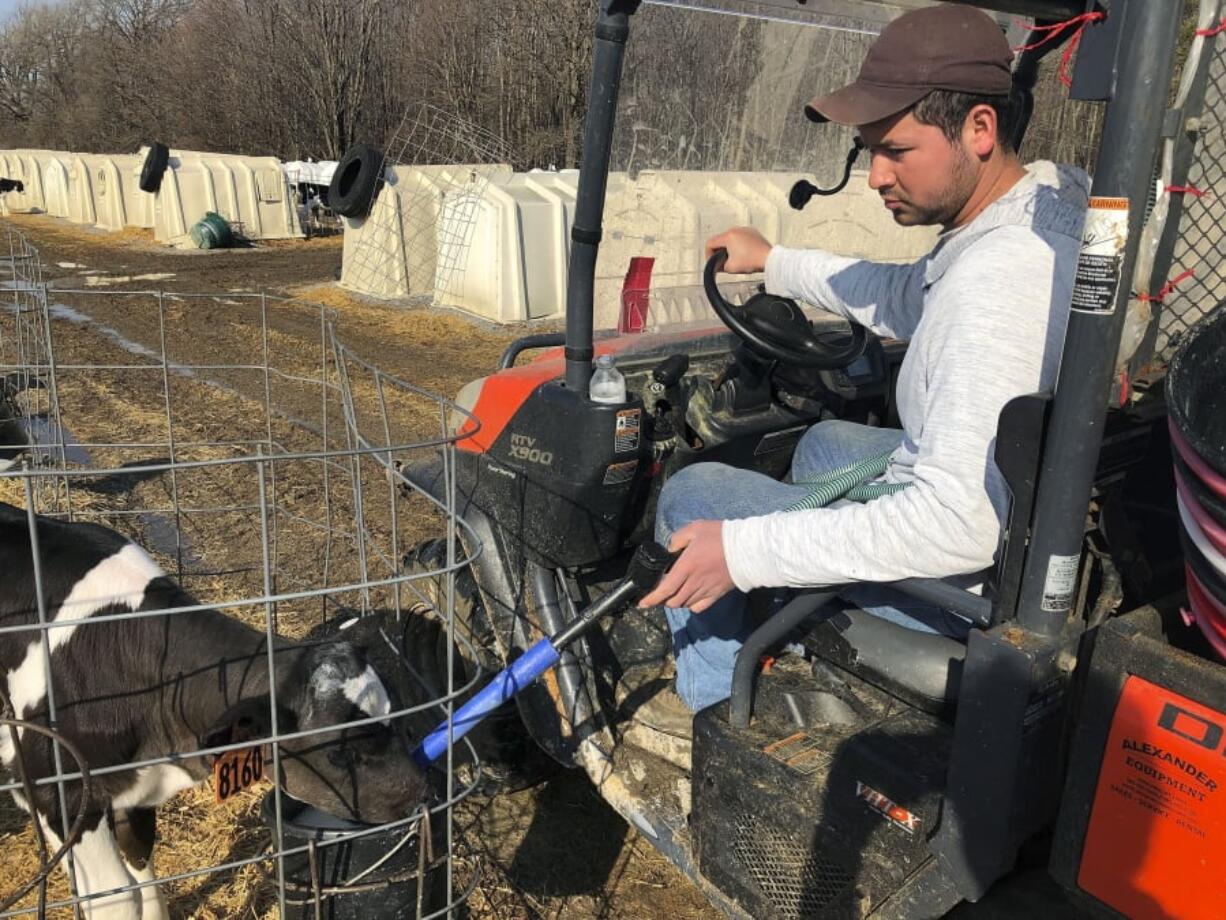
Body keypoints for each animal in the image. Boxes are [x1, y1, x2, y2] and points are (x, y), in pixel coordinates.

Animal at [0, 505, 434, 920]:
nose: (421, 792)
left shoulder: (134, 784)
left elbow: (140, 856)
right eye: (340, 752)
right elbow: (116, 899)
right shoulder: (55, 789)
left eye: (396, 719)